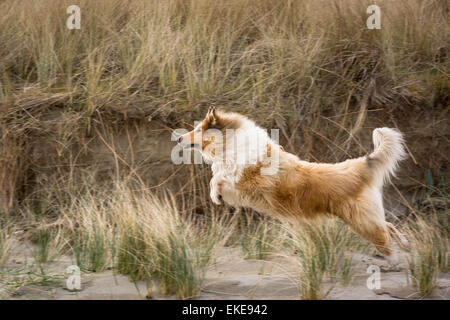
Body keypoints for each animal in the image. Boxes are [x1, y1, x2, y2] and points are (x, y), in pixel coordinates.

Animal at [178, 107, 410, 255]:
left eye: (198, 130)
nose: (179, 138)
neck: (232, 143)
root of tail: (358, 167)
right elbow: (216, 177)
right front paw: (216, 197)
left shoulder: (245, 182)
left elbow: (218, 177)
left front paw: (215, 196)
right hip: (365, 217)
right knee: (389, 225)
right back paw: (404, 244)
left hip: (361, 221)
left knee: (384, 234)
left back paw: (392, 256)